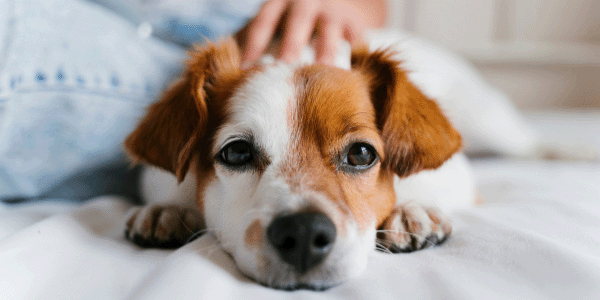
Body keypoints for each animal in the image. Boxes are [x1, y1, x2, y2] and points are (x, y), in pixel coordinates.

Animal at [122, 35, 492, 290]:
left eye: (361, 153)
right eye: (237, 152)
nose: (302, 233)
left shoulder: (457, 175)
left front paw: (412, 209)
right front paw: (170, 208)